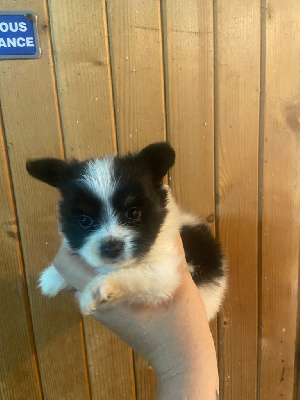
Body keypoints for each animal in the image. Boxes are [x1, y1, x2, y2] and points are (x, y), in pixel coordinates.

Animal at [26, 142, 227, 320]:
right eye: (84, 221)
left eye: (134, 213)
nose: (111, 248)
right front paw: (51, 277)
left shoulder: (164, 271)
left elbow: (135, 275)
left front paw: (98, 289)